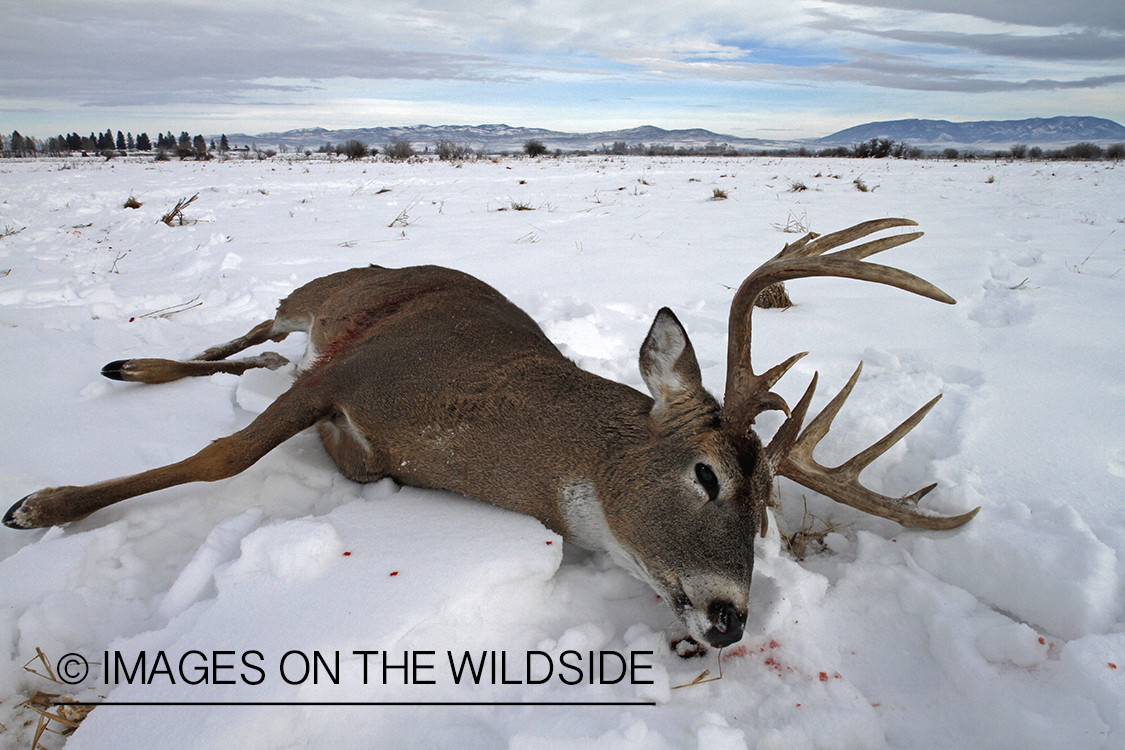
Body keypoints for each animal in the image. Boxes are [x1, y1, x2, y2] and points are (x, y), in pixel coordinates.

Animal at [4, 218, 978, 649]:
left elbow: (340, 459)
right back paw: (133, 365)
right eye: (706, 475)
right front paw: (43, 504)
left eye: (770, 506)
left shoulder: (356, 413)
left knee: (255, 356)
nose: (732, 619)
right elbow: (222, 457)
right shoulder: (349, 374)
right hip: (310, 298)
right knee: (243, 334)